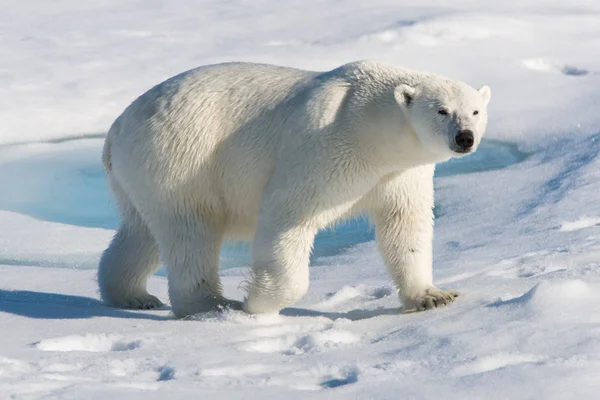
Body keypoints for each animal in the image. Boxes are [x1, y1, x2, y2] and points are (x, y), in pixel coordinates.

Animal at [99, 59, 492, 318]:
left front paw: (433, 296)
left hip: (140, 174)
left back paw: (131, 295)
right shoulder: (324, 147)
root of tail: (117, 127)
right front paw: (257, 303)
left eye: (474, 111)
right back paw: (212, 304)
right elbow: (288, 217)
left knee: (142, 233)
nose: (465, 138)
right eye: (442, 110)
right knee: (190, 229)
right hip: (180, 157)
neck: (373, 127)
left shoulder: (400, 174)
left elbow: (405, 226)